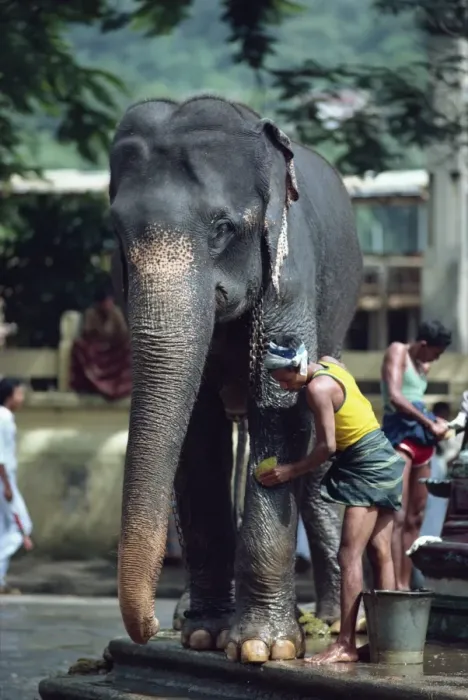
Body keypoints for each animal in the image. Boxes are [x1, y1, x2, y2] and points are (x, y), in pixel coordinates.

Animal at [109, 95, 363, 664]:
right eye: (116, 234)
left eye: (222, 227)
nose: (145, 627)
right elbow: (197, 432)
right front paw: (204, 635)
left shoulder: (290, 275)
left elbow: (280, 414)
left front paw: (261, 648)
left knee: (318, 450)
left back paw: (329, 623)